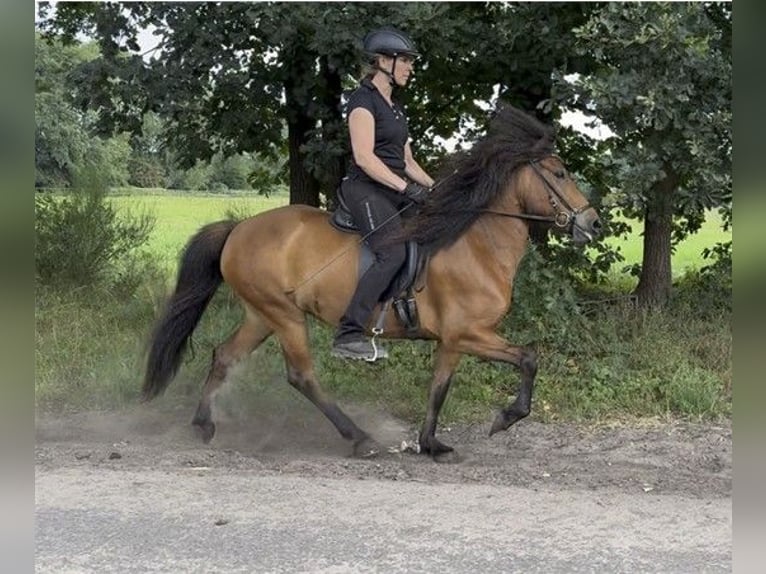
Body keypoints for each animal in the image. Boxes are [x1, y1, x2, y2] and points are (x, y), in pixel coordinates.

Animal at [141, 104, 604, 464]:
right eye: (559, 173)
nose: (593, 223)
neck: (477, 245)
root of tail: (237, 230)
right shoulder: (470, 333)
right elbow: (528, 358)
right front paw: (504, 419)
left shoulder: (452, 341)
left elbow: (439, 389)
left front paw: (430, 444)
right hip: (284, 315)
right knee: (301, 376)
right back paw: (359, 437)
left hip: (261, 314)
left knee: (224, 357)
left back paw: (203, 425)